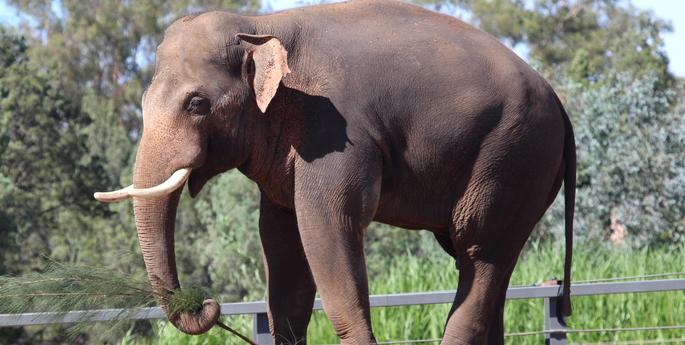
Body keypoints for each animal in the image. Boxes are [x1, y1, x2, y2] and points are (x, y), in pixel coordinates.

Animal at [95, 1, 572, 342]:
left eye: (196, 104)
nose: (204, 305)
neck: (259, 25)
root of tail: (560, 104)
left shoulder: (334, 130)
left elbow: (327, 226)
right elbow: (282, 246)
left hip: (512, 158)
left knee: (479, 252)